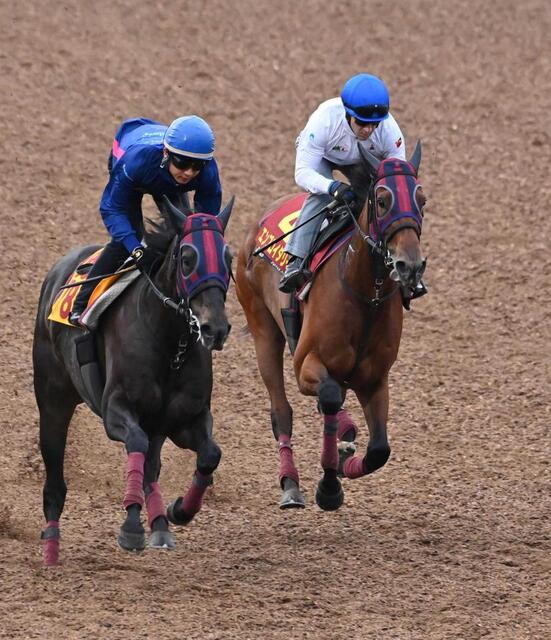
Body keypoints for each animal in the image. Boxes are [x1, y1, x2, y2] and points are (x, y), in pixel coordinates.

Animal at [33, 195, 234, 565]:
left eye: (228, 259)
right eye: (187, 259)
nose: (215, 328)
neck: (169, 343)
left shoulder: (186, 419)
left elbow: (210, 453)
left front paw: (179, 510)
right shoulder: (116, 411)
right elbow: (136, 445)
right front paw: (131, 527)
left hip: (157, 423)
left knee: (152, 466)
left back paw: (160, 525)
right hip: (53, 401)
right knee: (55, 478)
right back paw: (51, 549)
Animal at [235, 143, 426, 510]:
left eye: (421, 200)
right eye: (383, 200)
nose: (409, 265)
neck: (366, 298)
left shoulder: (375, 380)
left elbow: (379, 450)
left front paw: (343, 462)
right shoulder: (305, 365)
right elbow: (328, 396)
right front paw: (328, 486)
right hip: (262, 329)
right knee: (283, 410)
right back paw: (291, 485)